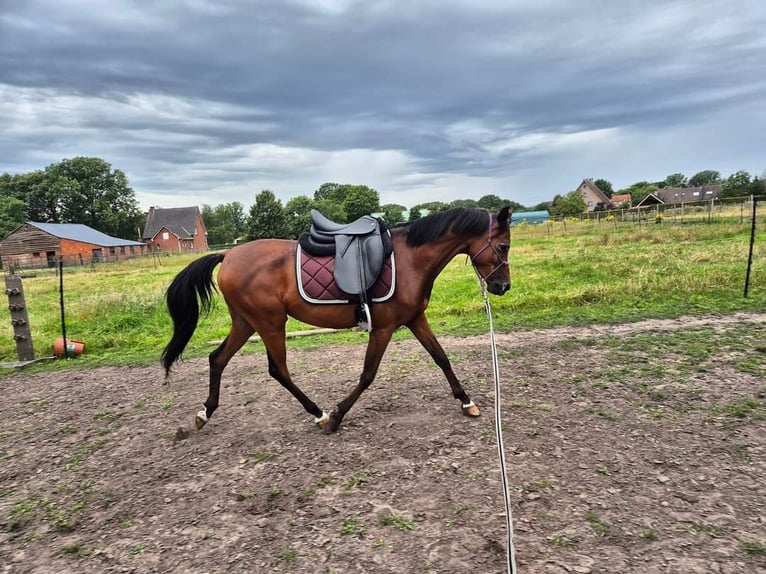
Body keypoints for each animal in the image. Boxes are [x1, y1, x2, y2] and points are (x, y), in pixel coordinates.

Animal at [161, 205, 510, 434]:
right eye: (504, 245)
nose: (503, 286)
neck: (411, 259)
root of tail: (228, 255)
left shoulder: (415, 319)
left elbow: (441, 358)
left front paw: (466, 401)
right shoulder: (384, 328)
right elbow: (368, 374)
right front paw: (338, 415)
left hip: (246, 322)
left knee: (217, 358)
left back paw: (205, 413)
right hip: (270, 323)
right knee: (278, 370)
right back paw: (319, 414)